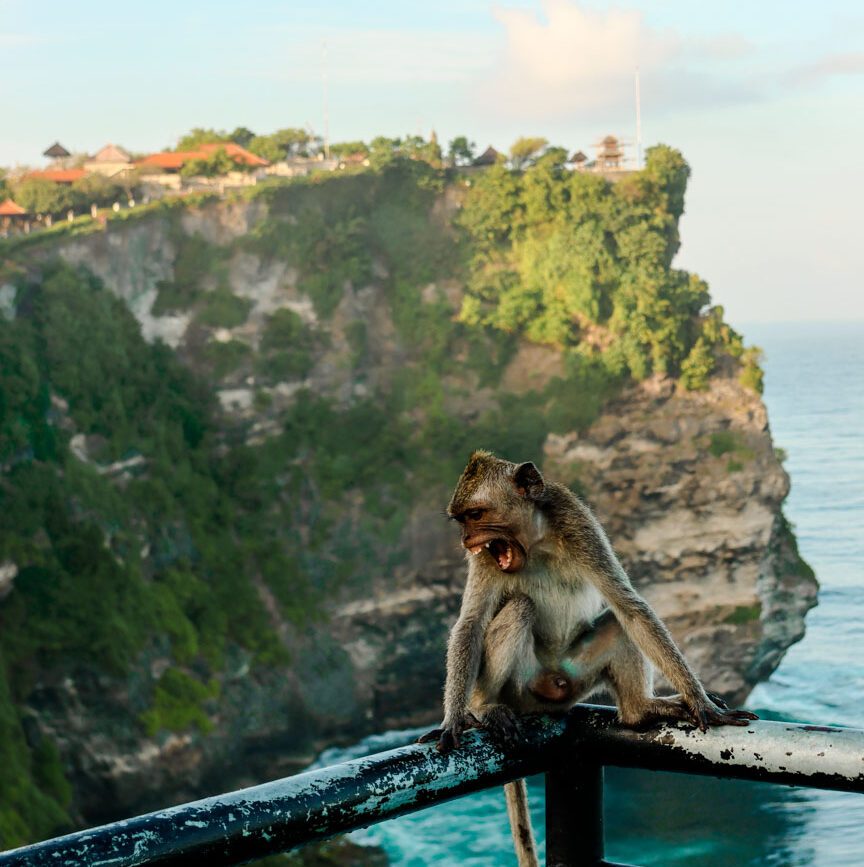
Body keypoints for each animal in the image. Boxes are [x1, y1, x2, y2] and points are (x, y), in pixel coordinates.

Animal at [419, 451, 757, 867]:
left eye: (476, 515)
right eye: (461, 519)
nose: (466, 541)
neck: (535, 541)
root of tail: (551, 686)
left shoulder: (578, 523)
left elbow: (629, 607)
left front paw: (701, 703)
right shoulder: (486, 561)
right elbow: (469, 625)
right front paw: (452, 721)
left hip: (573, 679)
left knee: (616, 622)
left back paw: (641, 710)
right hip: (524, 689)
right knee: (519, 607)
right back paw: (485, 706)